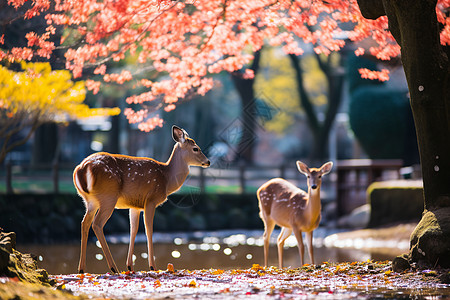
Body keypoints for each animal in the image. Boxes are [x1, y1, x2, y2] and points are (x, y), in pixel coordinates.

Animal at [73, 125, 210, 274]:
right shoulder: (151, 200)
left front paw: (130, 266)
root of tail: (81, 169)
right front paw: (153, 266)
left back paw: (82, 269)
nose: (208, 161)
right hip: (108, 196)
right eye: (196, 148)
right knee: (97, 224)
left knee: (84, 223)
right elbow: (149, 229)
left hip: (90, 201)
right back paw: (113, 267)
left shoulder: (135, 205)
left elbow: (133, 229)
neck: (167, 179)